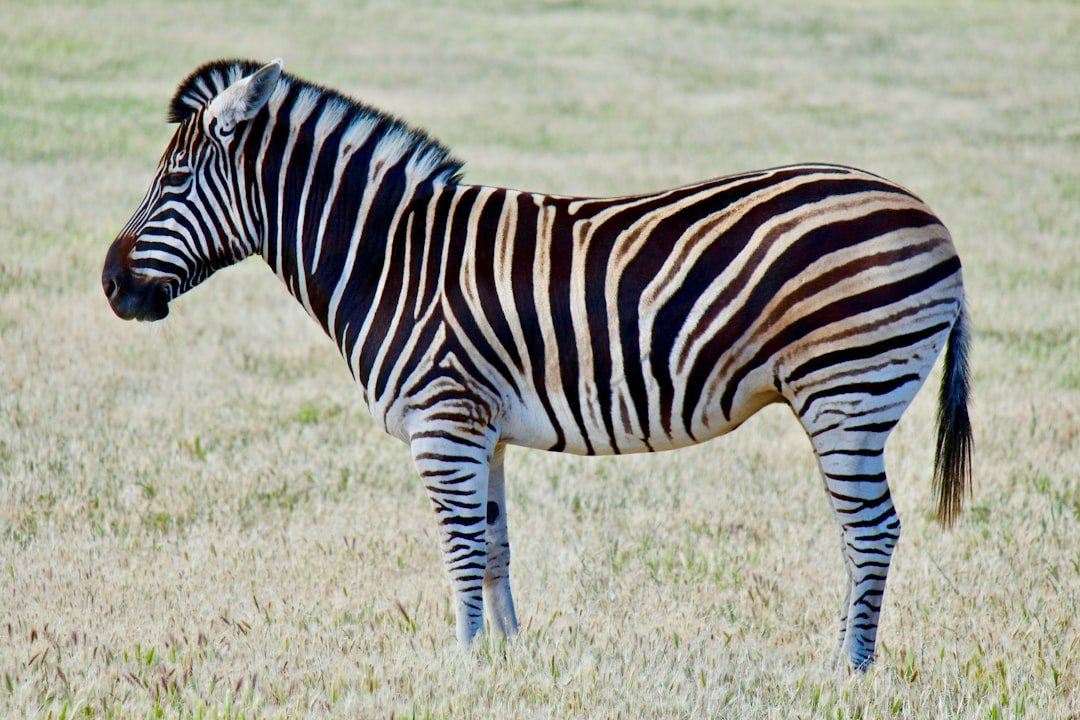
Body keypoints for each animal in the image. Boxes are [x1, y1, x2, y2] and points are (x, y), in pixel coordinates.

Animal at [102, 58, 972, 670]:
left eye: (173, 178)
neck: (389, 257)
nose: (111, 286)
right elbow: (493, 547)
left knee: (870, 530)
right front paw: (508, 659)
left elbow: (457, 546)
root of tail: (930, 217)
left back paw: (848, 668)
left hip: (847, 393)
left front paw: (460, 664)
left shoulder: (442, 422)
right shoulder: (477, 428)